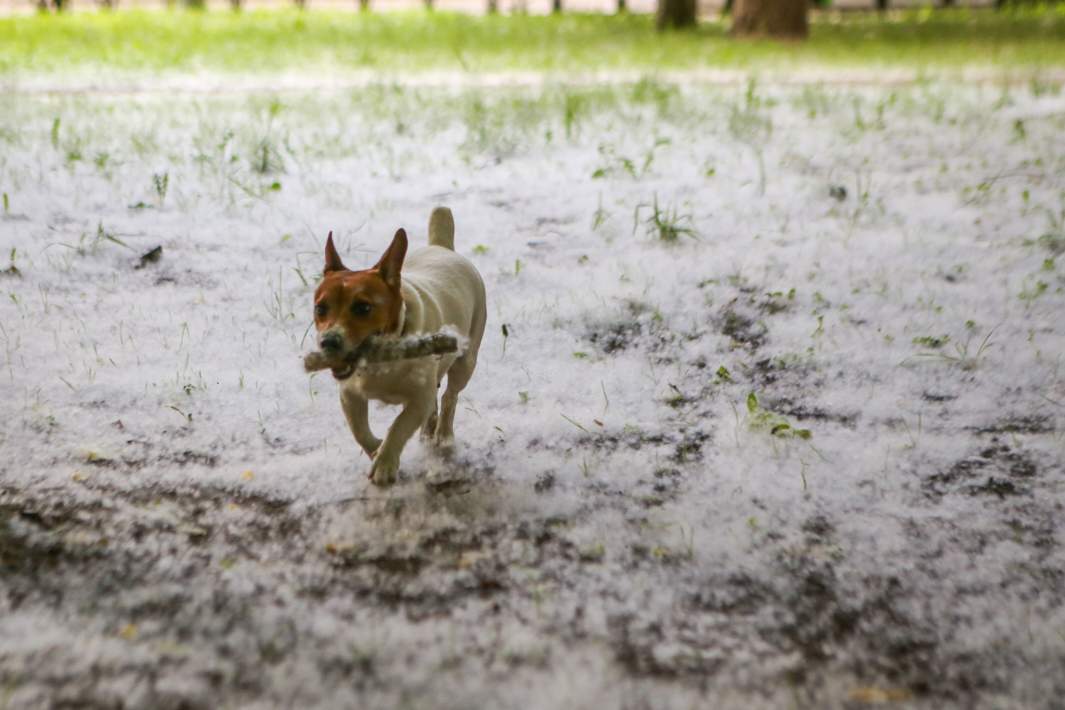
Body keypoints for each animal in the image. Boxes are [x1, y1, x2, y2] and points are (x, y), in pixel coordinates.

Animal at [310, 205, 487, 483]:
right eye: (320, 308)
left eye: (363, 307)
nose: (328, 341)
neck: (380, 361)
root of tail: (441, 247)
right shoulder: (350, 395)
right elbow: (359, 431)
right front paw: (376, 450)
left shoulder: (418, 399)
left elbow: (399, 426)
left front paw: (385, 463)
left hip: (466, 360)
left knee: (450, 396)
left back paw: (443, 433)